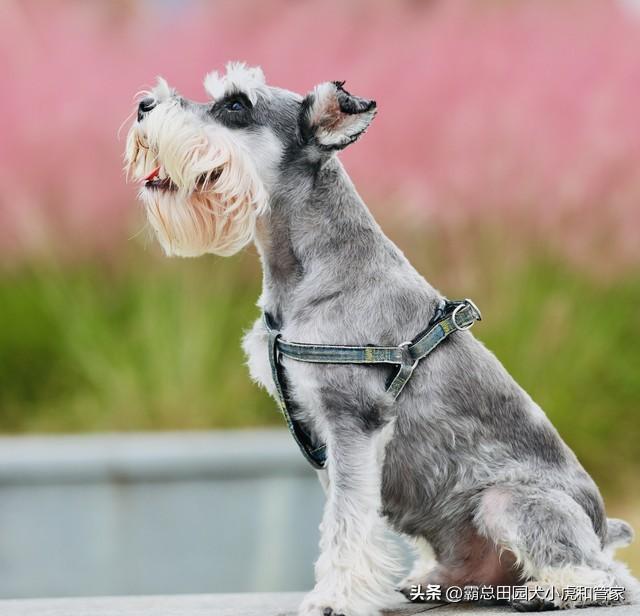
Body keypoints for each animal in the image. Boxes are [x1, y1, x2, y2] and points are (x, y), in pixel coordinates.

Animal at [125, 62, 638, 614]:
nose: (144, 104)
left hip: (509, 500)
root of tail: (603, 527)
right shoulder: (323, 432)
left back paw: (552, 589)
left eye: (237, 104)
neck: (307, 268)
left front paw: (335, 598)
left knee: (605, 573)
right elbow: (344, 513)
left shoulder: (353, 418)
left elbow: (348, 519)